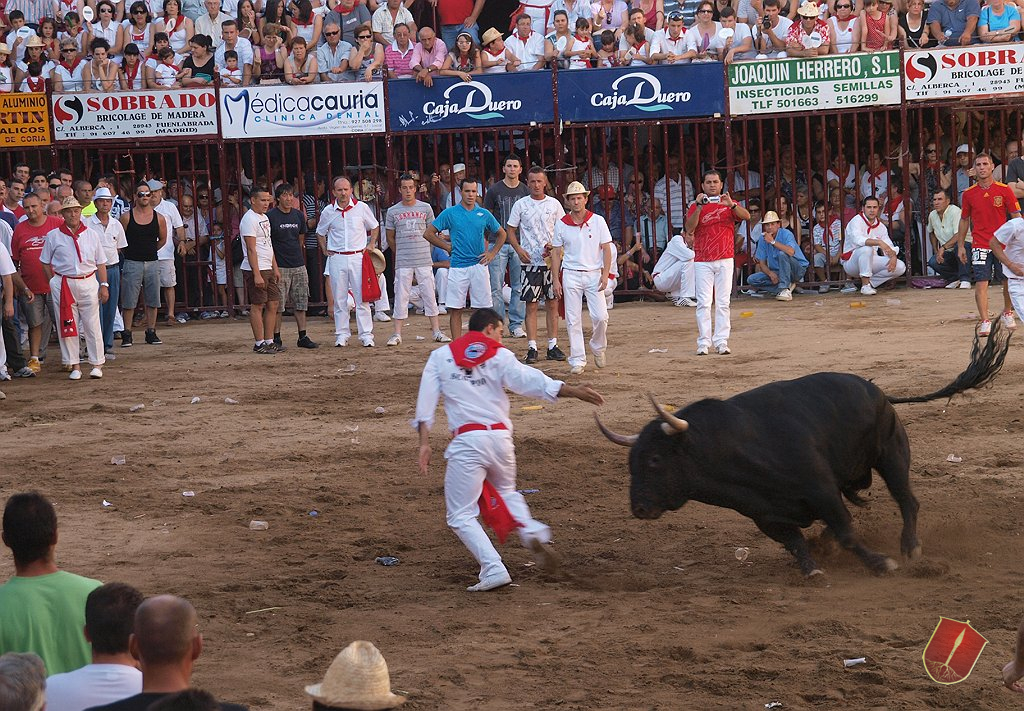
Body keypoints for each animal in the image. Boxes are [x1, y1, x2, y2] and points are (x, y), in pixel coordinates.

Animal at [598, 327, 1011, 577]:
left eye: (654, 460)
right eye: (631, 463)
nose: (639, 508)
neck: (730, 448)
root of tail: (877, 390)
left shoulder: (823, 492)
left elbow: (847, 531)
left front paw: (881, 563)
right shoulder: (764, 515)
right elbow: (795, 541)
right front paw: (812, 567)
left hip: (891, 454)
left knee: (907, 501)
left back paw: (910, 548)